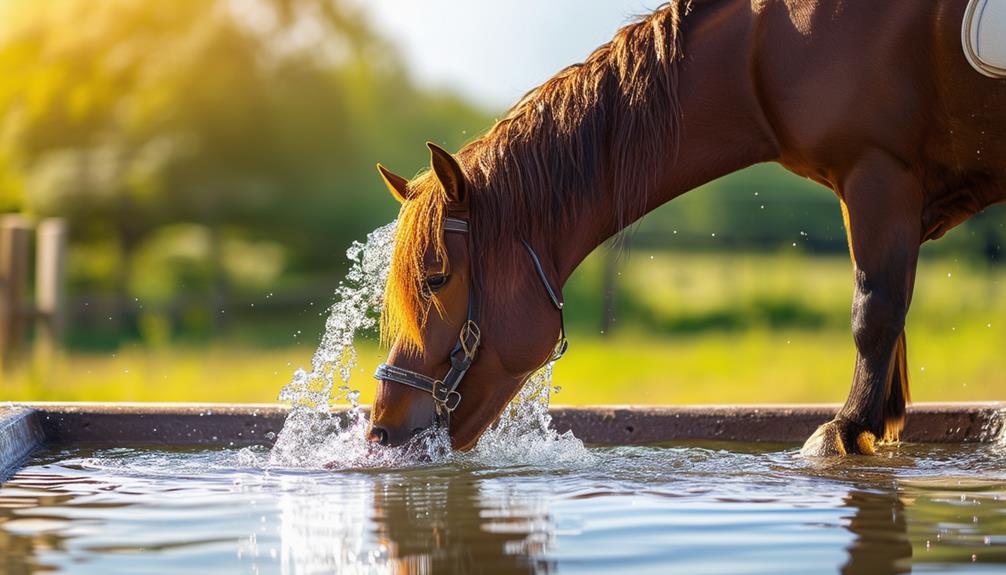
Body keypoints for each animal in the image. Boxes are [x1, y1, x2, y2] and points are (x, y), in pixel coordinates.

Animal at [370, 1, 1006, 458]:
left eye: (435, 279)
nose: (381, 428)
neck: (765, 46)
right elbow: (890, 318)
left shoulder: (876, 173)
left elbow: (873, 313)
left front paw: (845, 431)